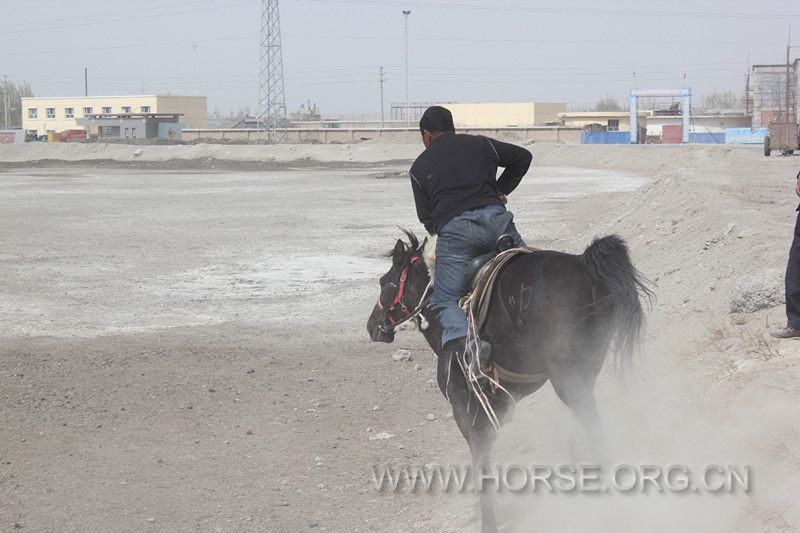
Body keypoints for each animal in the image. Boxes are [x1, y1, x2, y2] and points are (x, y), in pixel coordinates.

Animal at [366, 232, 652, 532]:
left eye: (384, 282)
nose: (372, 326)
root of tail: (582, 265)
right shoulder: (499, 403)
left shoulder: (465, 408)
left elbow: (480, 458)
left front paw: (488, 522)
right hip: (584, 368)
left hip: (567, 375)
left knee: (592, 424)